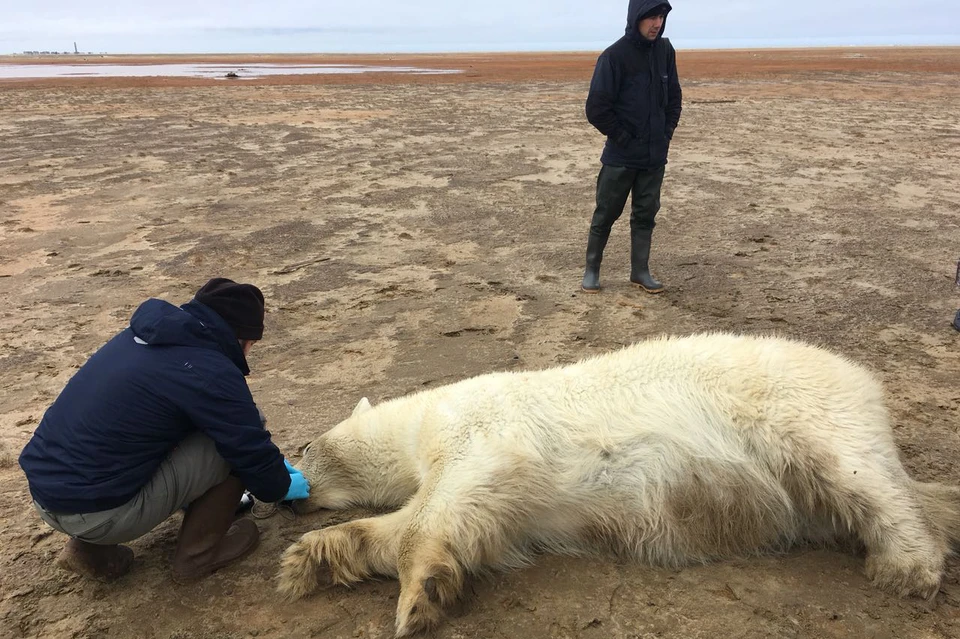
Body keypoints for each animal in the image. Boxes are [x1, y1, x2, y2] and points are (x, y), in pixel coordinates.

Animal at [274, 332, 956, 636]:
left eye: (305, 446)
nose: (289, 494)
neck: (424, 418)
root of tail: (864, 380)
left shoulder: (487, 435)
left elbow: (447, 505)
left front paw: (418, 600)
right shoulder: (510, 502)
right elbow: (437, 524)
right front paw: (313, 559)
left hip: (801, 410)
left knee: (862, 477)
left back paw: (907, 566)